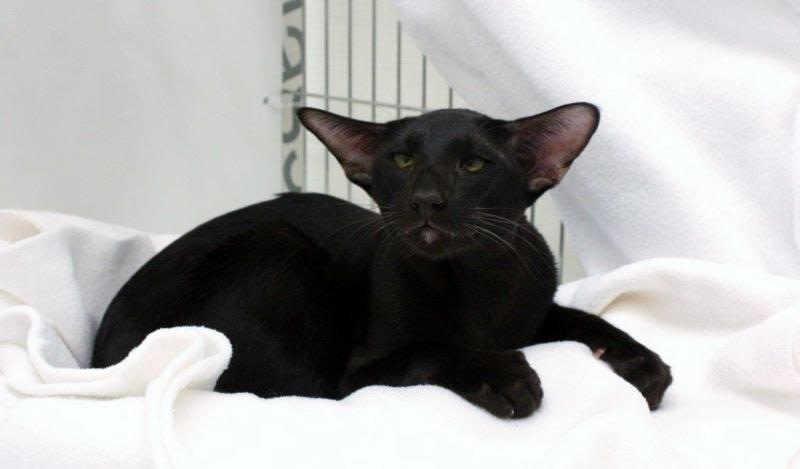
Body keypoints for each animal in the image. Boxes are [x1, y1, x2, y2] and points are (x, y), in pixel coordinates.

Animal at [92, 103, 671, 418]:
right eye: (404, 160)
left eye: (473, 164)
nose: (426, 200)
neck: (475, 282)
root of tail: (101, 363)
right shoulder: (361, 373)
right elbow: (431, 348)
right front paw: (501, 374)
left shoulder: (532, 310)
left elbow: (580, 317)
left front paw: (642, 362)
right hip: (278, 246)